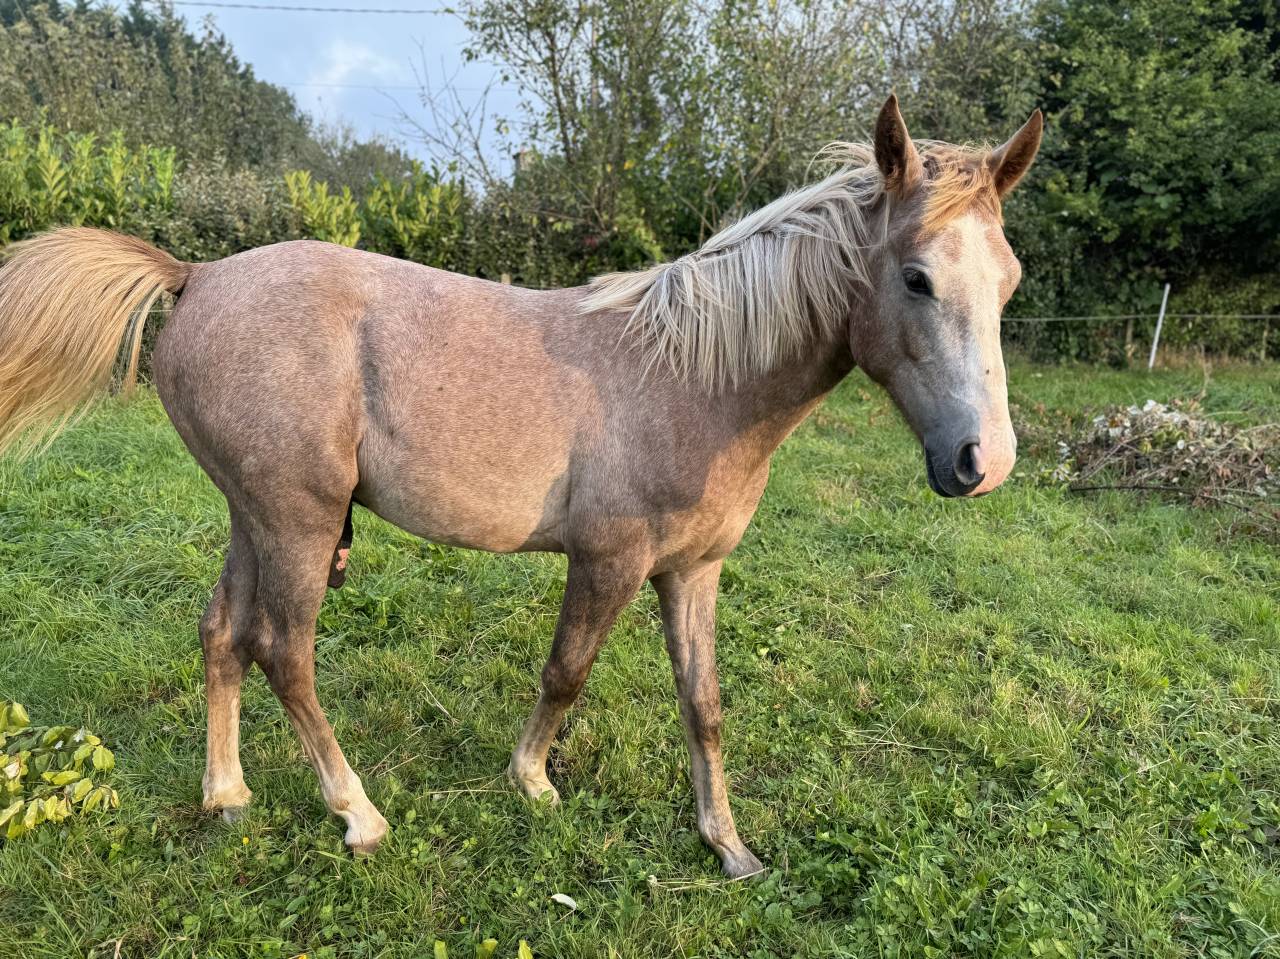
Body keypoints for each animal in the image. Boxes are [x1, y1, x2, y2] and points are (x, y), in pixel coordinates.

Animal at [0, 95, 1041, 878]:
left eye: (1010, 282)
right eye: (915, 278)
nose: (982, 463)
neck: (692, 376)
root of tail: (200, 274)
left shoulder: (693, 571)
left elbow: (702, 702)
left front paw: (727, 843)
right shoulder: (609, 560)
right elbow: (566, 670)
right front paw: (532, 780)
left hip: (252, 514)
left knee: (222, 634)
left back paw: (228, 795)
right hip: (297, 521)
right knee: (281, 650)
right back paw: (358, 812)